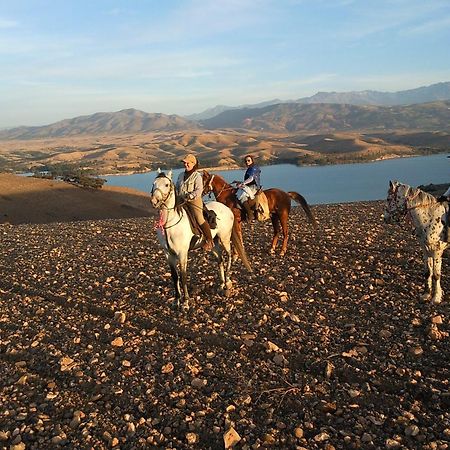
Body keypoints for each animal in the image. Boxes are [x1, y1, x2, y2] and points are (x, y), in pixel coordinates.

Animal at [150, 169, 250, 310]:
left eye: (166, 184)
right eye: (154, 184)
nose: (154, 201)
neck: (169, 224)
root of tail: (227, 208)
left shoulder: (182, 253)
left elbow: (183, 276)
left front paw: (186, 302)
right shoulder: (168, 254)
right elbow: (175, 277)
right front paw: (176, 300)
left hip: (225, 238)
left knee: (229, 256)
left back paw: (228, 282)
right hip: (214, 243)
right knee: (220, 260)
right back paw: (221, 284)